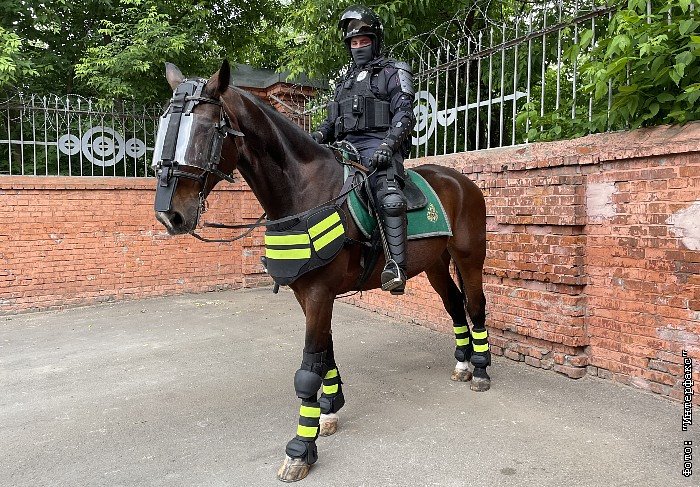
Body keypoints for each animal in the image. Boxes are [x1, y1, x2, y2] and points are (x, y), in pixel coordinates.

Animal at [152, 62, 492, 484]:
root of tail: (460, 180)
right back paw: (462, 363)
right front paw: (329, 410)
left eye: (204, 131)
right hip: (434, 266)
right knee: (455, 306)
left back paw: (481, 370)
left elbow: (307, 369)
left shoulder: (318, 293)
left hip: (469, 257)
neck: (305, 190)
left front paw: (301, 449)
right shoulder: (309, 294)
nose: (170, 214)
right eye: (164, 128)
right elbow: (325, 354)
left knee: (475, 305)